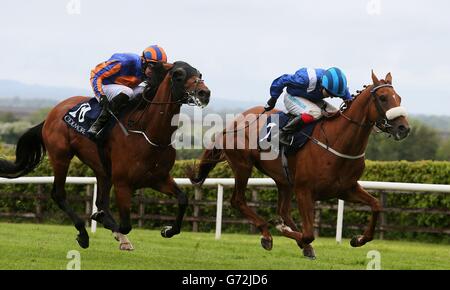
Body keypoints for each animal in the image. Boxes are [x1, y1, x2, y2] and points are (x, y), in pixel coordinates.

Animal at [0, 60, 211, 249]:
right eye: (178, 75)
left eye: (199, 73)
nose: (204, 93)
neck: (149, 133)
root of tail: (51, 114)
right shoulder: (123, 184)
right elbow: (125, 225)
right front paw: (102, 220)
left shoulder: (158, 178)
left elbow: (183, 199)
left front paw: (168, 230)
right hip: (61, 156)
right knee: (59, 194)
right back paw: (84, 233)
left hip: (102, 169)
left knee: (100, 200)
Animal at [188, 72, 410, 258]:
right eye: (383, 98)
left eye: (399, 97)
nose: (403, 128)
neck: (337, 142)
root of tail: (234, 121)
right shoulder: (304, 190)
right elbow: (309, 233)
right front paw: (284, 230)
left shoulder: (346, 189)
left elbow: (376, 205)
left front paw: (359, 239)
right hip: (243, 166)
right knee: (238, 200)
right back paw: (267, 234)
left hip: (283, 180)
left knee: (283, 211)